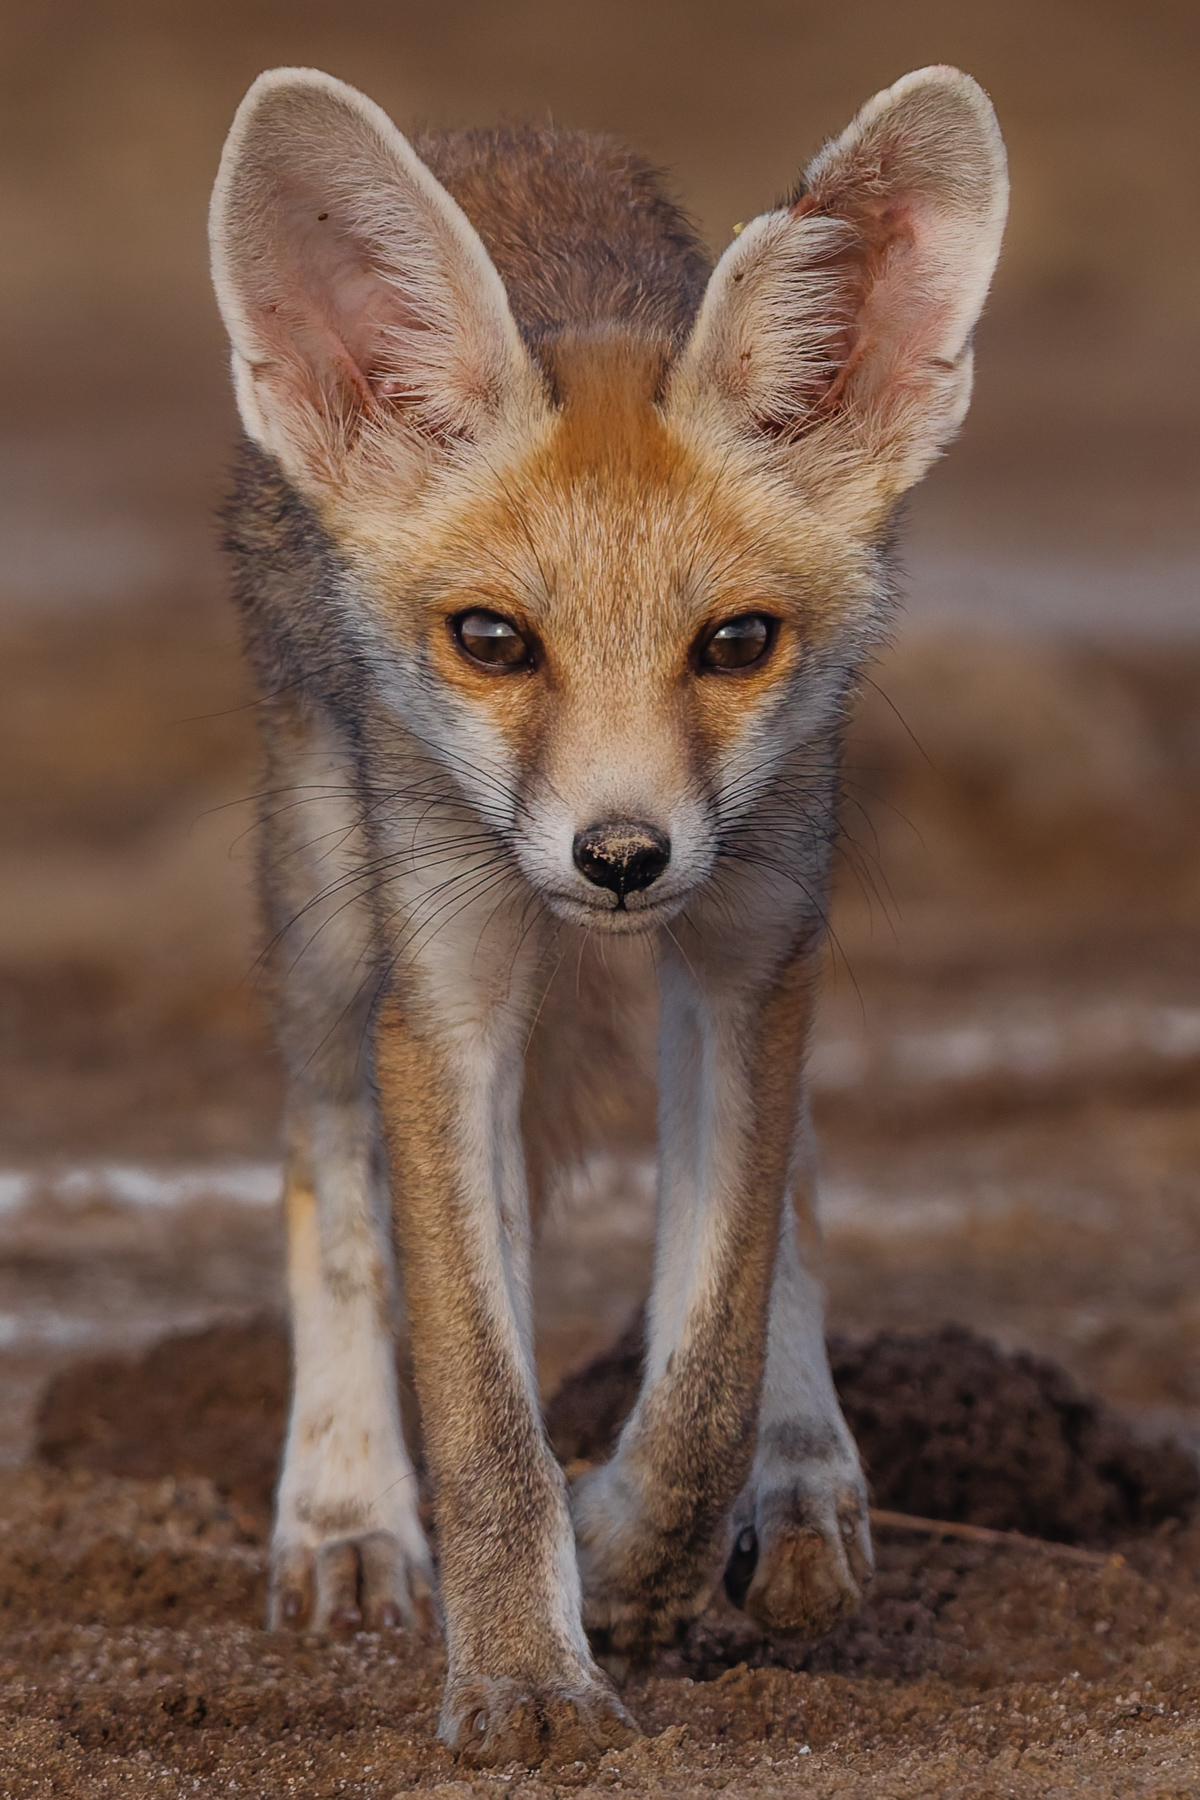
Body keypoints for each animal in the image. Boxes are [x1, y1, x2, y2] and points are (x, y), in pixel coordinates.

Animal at [209, 64, 1007, 1764]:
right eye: (494, 640)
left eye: (738, 643)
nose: (620, 857)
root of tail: (505, 126)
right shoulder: (447, 1007)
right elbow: (480, 1398)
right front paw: (523, 1674)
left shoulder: (751, 953)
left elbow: (712, 1352)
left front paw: (638, 1558)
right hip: (324, 904)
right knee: (325, 1172)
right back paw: (343, 1509)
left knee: (794, 1203)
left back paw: (805, 1472)